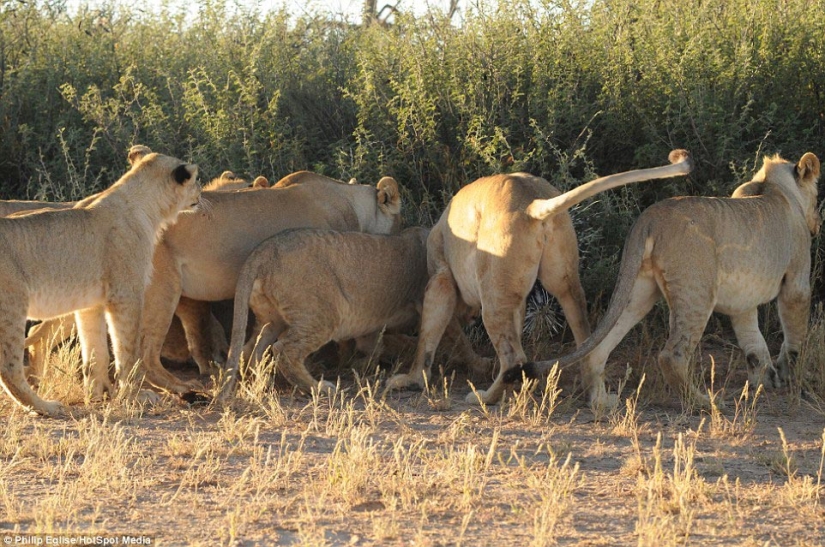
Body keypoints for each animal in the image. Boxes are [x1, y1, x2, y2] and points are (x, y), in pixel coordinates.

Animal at [0, 149, 201, 415]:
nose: (201, 194)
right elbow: (127, 350)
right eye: (197, 180)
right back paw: (45, 407)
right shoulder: (126, 294)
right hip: (12, 306)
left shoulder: (90, 303)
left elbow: (95, 352)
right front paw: (135, 396)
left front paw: (96, 395)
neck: (146, 207)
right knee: (9, 367)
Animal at [384, 150, 694, 405]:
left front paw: (410, 380)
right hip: (563, 281)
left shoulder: (441, 278)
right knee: (584, 340)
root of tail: (533, 204)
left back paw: (485, 398)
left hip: (492, 295)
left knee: (514, 358)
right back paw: (596, 398)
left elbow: (429, 334)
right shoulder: (515, 296)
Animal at [503, 152, 820, 411]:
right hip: (696, 291)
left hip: (640, 292)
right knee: (672, 355)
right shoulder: (797, 282)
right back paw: (704, 403)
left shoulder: (743, 304)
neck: (774, 187)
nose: (818, 222)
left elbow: (754, 344)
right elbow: (795, 335)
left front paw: (765, 379)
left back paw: (601, 401)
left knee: (599, 347)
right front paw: (790, 374)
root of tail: (650, 217)